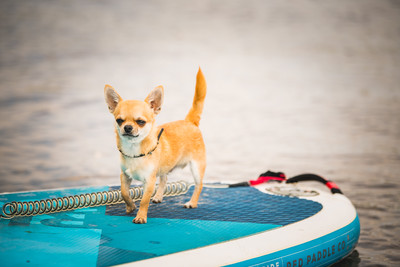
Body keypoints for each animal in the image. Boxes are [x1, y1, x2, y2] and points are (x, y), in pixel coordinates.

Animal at [104, 68, 206, 224]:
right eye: (119, 120)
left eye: (141, 122)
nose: (127, 127)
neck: (134, 151)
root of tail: (190, 121)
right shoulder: (124, 176)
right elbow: (124, 192)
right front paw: (130, 207)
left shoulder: (149, 181)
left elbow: (144, 201)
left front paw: (140, 216)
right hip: (165, 167)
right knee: (164, 179)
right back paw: (158, 196)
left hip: (196, 166)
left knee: (199, 185)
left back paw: (192, 203)